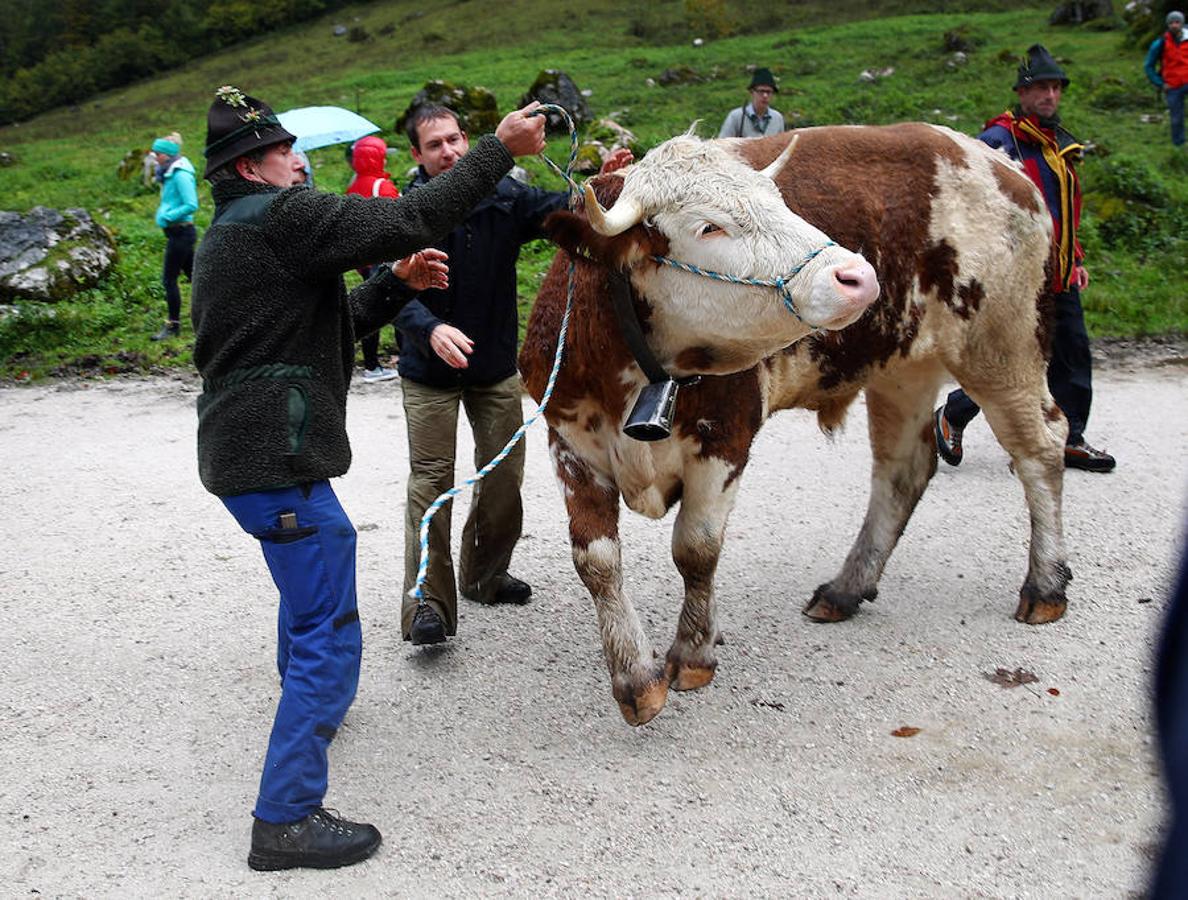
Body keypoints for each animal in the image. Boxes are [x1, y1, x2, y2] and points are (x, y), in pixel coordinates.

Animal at [520, 125, 1069, 726]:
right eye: (708, 226)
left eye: (781, 203)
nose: (858, 276)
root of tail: (1001, 164)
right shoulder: (568, 440)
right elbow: (596, 560)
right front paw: (634, 677)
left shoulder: (725, 437)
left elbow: (696, 549)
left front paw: (692, 654)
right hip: (904, 367)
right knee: (903, 471)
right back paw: (848, 588)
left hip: (1003, 347)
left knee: (1042, 448)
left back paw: (1046, 584)